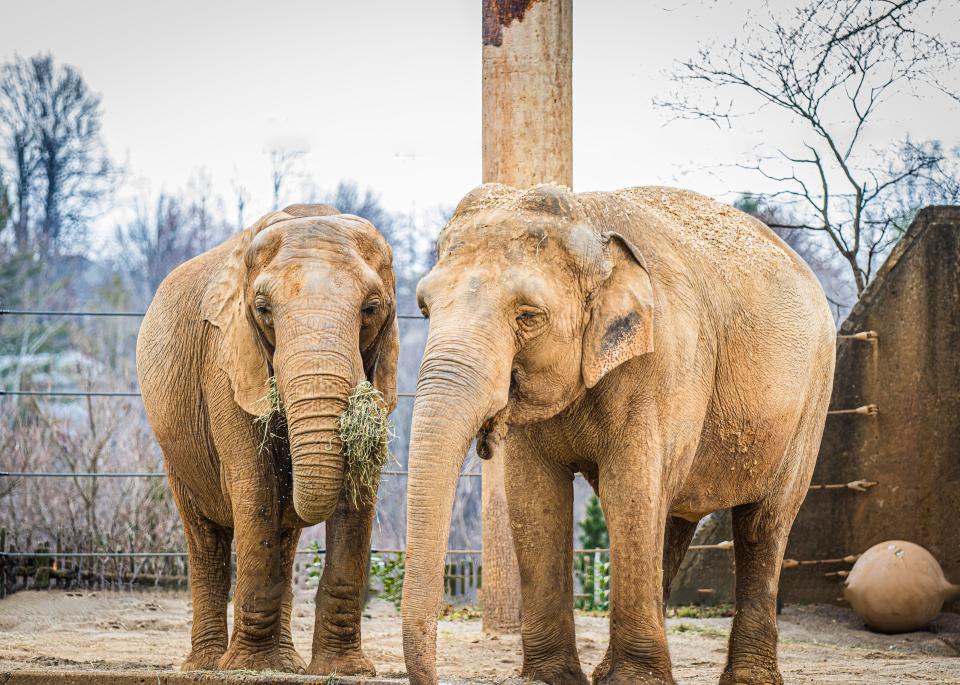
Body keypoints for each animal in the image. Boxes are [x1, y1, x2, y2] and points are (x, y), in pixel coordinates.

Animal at [136, 203, 398, 672]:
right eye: (263, 309)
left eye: (371, 309)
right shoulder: (223, 359)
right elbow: (255, 488)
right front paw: (246, 667)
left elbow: (357, 498)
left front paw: (344, 670)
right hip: (175, 453)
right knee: (206, 540)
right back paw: (208, 665)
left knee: (284, 540)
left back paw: (287, 664)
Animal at [402, 183, 836, 684]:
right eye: (424, 308)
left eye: (529, 316)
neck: (591, 220)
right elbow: (534, 496)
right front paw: (548, 679)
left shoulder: (662, 363)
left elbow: (628, 489)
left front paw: (635, 681)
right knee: (670, 520)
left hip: (810, 403)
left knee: (763, 523)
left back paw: (748, 678)